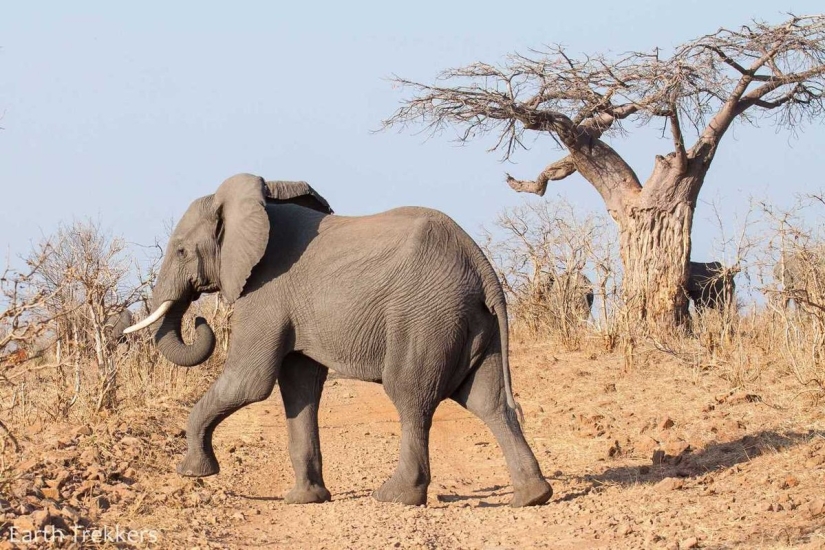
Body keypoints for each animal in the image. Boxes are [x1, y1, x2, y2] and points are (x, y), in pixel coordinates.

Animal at [125, 172, 552, 508]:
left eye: (181, 250)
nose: (200, 319)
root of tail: (482, 265)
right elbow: (300, 385)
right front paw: (305, 500)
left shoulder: (266, 292)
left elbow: (251, 382)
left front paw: (191, 473)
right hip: (474, 320)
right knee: (487, 401)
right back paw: (532, 496)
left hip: (426, 315)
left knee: (411, 396)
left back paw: (396, 497)